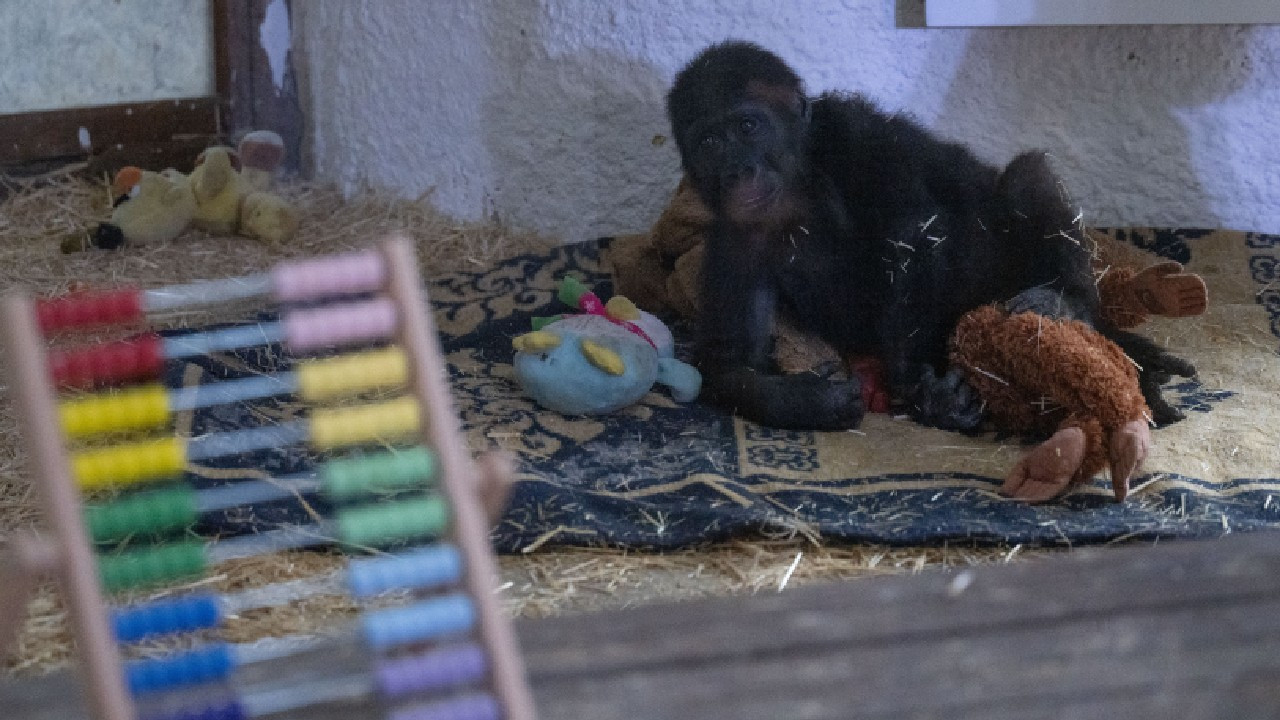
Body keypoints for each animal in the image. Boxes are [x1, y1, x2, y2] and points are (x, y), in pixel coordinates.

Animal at [670, 41, 1187, 427]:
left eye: (748, 126)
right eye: (710, 143)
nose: (739, 171)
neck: (797, 184)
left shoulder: (857, 135)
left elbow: (914, 229)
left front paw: (915, 379)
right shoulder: (731, 243)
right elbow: (730, 363)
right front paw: (807, 401)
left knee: (1027, 177)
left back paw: (1066, 300)